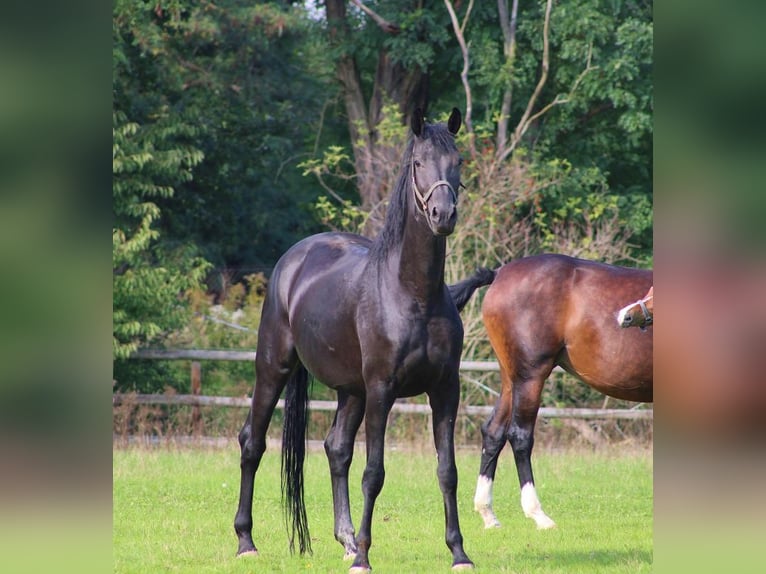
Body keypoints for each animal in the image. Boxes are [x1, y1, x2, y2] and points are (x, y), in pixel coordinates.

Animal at [234, 110, 474, 572]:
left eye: (458, 161)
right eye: (418, 162)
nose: (443, 214)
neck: (413, 293)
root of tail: (294, 258)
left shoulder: (444, 390)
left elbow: (447, 471)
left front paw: (458, 551)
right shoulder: (382, 390)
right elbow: (374, 473)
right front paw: (364, 554)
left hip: (351, 391)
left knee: (336, 449)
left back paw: (344, 539)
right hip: (274, 368)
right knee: (252, 442)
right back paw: (245, 540)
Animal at [474, 254, 656, 532]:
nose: (626, 316)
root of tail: (499, 274)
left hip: (511, 379)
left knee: (493, 432)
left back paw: (488, 513)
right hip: (530, 377)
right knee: (519, 436)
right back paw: (538, 514)